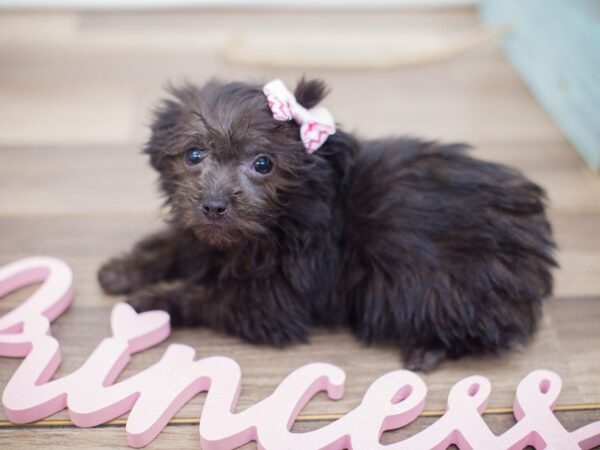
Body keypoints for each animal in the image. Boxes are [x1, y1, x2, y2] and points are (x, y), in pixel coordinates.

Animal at [97, 78, 552, 372]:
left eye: (263, 163)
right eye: (194, 155)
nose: (213, 206)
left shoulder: (272, 302)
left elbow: (201, 296)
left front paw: (148, 301)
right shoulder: (201, 237)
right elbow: (172, 243)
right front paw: (121, 271)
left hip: (444, 287)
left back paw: (426, 351)